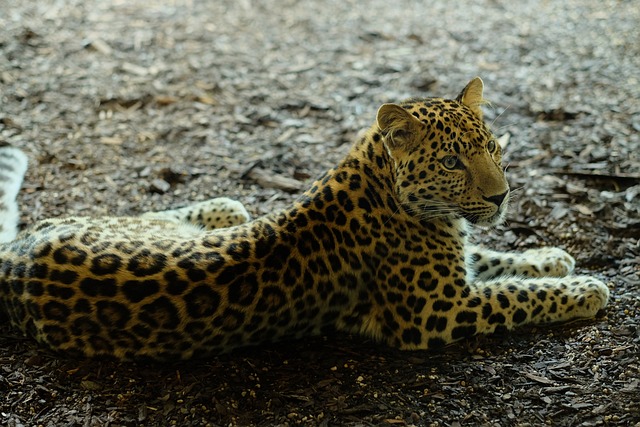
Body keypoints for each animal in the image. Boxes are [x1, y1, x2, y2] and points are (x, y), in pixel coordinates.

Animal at [0, 79, 608, 362]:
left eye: (492, 147)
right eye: (452, 162)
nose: (502, 196)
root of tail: (14, 256)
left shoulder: (453, 259)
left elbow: (489, 257)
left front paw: (548, 256)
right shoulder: (437, 310)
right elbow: (514, 295)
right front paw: (583, 288)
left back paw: (225, 207)